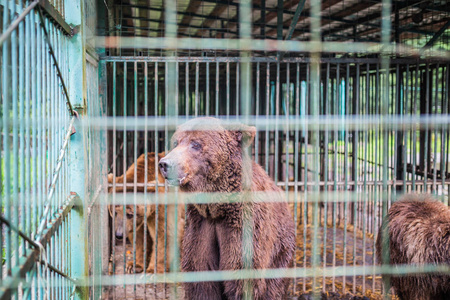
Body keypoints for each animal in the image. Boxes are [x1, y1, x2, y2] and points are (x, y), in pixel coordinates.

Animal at [158, 118, 296, 300]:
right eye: (176, 142)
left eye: (196, 144)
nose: (164, 164)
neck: (218, 209)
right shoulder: (201, 226)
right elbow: (200, 277)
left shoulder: (244, 226)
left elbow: (242, 278)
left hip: (281, 247)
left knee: (274, 285)